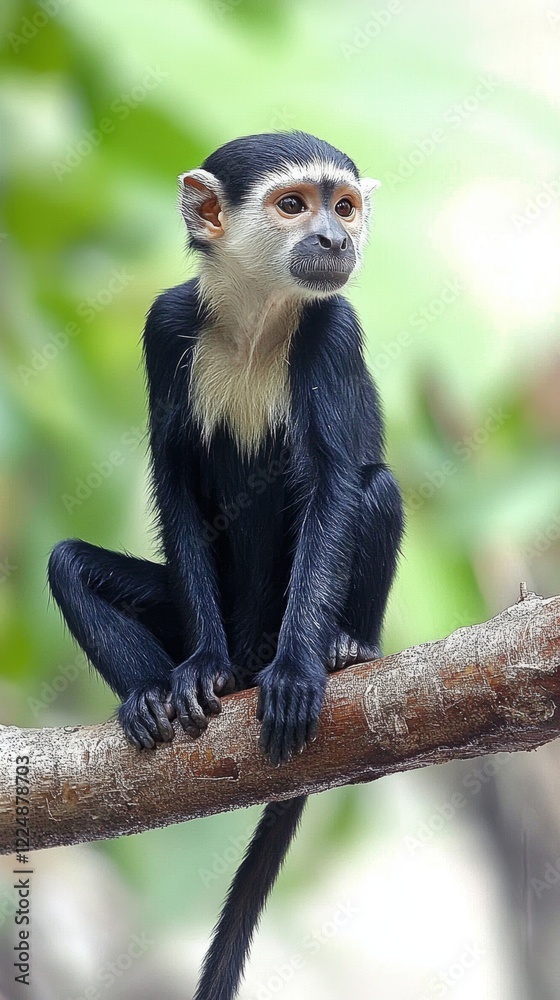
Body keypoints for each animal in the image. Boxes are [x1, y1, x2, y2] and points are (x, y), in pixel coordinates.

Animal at [47, 131, 404, 1000]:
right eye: (294, 205)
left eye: (344, 206)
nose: (335, 239)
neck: (254, 316)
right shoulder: (164, 324)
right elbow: (176, 479)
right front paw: (193, 672)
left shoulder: (331, 330)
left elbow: (335, 483)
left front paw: (301, 673)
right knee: (68, 565)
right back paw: (160, 694)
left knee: (375, 487)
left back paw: (342, 651)